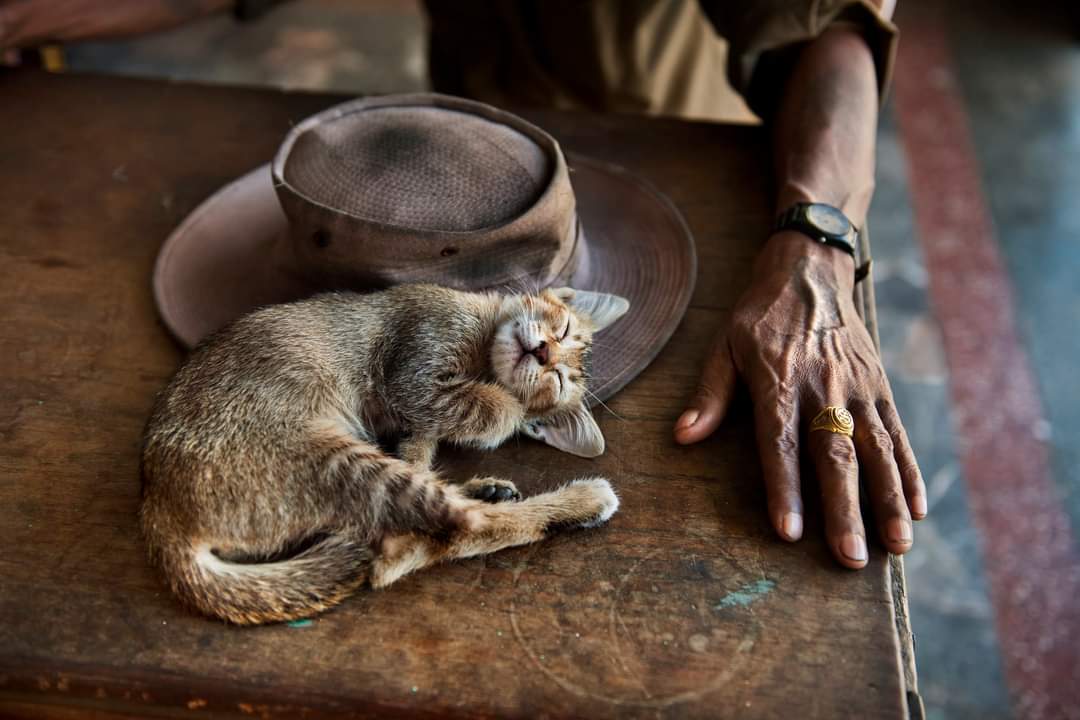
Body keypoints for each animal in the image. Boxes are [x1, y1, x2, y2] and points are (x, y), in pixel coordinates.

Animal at [144, 284, 630, 621]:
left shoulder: (419, 405)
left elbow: (432, 439)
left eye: (560, 381)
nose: (543, 352)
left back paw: (541, 496)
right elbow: (488, 409)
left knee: (434, 535)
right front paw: (505, 407)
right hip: (343, 460)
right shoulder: (416, 370)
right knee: (425, 540)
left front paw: (506, 408)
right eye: (562, 329)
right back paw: (571, 499)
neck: (483, 348)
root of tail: (161, 520)